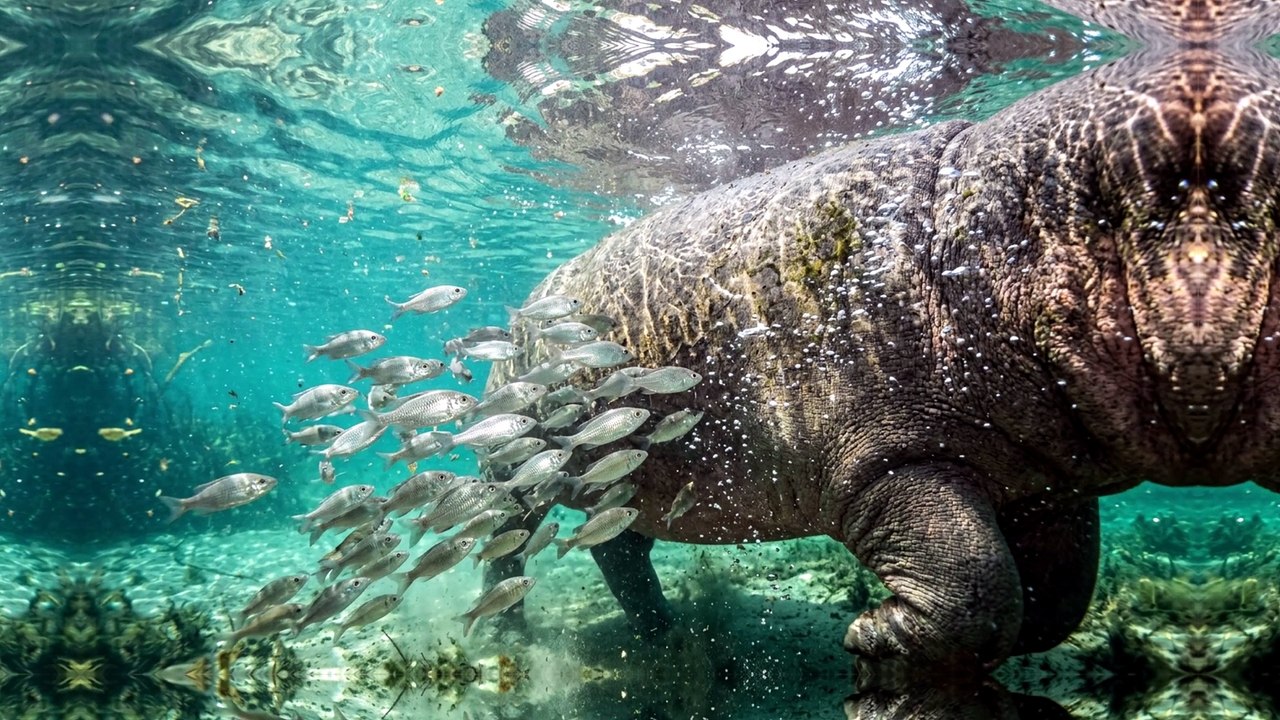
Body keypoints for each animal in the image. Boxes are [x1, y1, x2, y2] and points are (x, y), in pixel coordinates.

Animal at [486, 0, 1280, 673]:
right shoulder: (890, 457)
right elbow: (977, 585)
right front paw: (869, 636)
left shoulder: (1047, 480)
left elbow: (1058, 597)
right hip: (513, 463)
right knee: (511, 542)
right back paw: (512, 635)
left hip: (626, 478)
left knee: (621, 547)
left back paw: (660, 632)